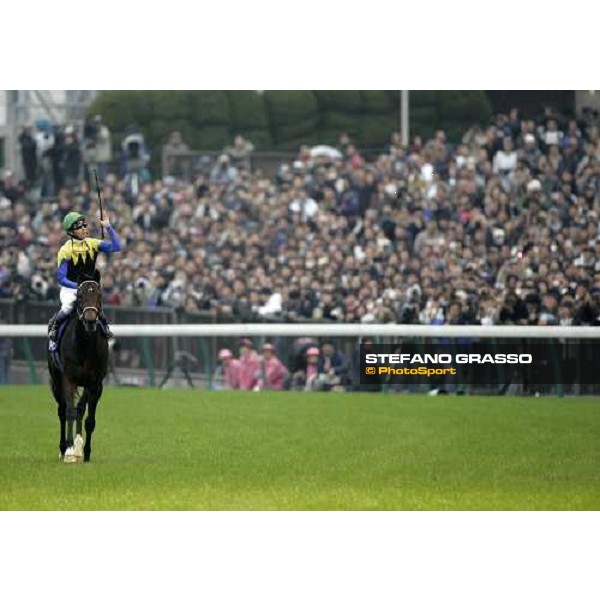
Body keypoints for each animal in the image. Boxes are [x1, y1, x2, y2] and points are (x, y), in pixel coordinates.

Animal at [48, 282, 109, 464]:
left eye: (99, 295)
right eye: (80, 296)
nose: (90, 319)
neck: (85, 346)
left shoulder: (95, 384)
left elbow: (89, 419)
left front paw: (86, 452)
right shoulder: (68, 379)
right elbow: (69, 412)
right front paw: (68, 451)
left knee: (80, 409)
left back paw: (78, 446)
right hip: (56, 380)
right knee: (62, 411)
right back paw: (63, 448)